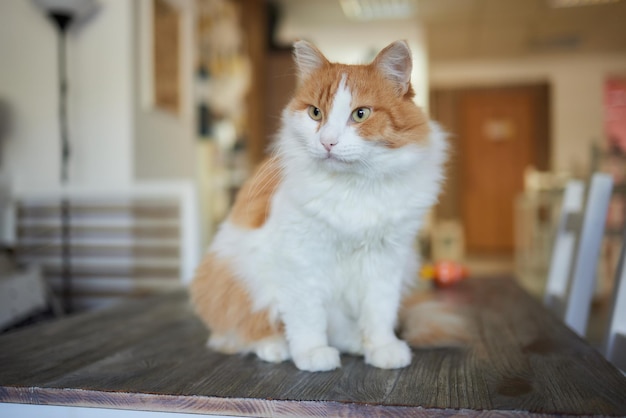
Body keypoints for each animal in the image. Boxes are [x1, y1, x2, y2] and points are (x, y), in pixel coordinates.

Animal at [190, 40, 448, 372]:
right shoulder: (301, 258)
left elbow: (379, 312)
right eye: (315, 113)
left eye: (360, 114)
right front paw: (312, 353)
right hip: (239, 273)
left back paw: (354, 342)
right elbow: (307, 316)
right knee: (241, 332)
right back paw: (275, 347)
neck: (354, 187)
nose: (328, 142)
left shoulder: (386, 260)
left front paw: (381, 348)